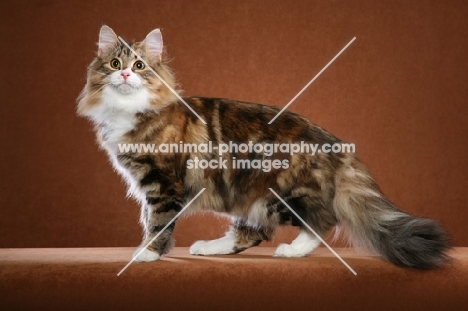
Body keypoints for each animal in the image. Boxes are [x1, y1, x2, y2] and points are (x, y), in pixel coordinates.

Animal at [77, 25, 450, 270]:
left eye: (139, 66)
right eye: (115, 64)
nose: (125, 75)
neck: (130, 110)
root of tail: (336, 143)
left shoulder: (162, 182)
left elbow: (157, 222)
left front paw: (147, 253)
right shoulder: (148, 185)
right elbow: (149, 220)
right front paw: (155, 249)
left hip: (277, 193)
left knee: (321, 220)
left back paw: (292, 250)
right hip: (249, 197)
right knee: (250, 234)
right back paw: (210, 247)